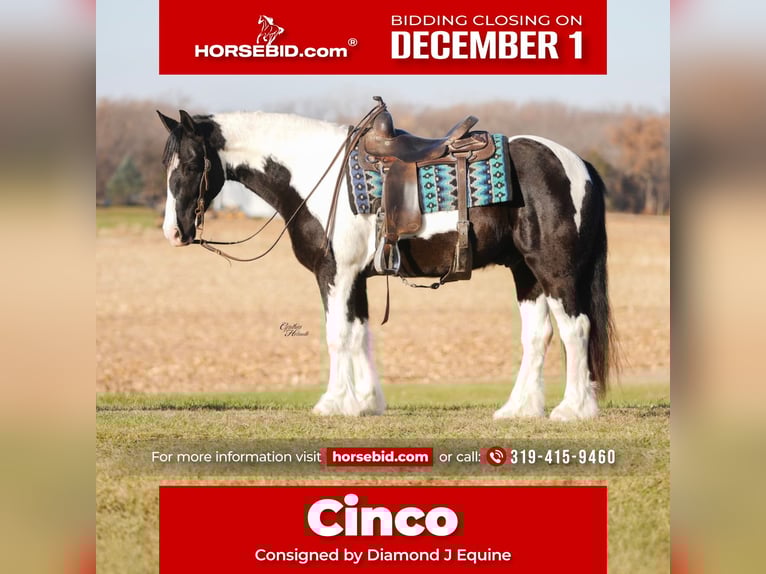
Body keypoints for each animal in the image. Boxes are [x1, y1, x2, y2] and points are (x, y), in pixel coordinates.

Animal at [156, 103, 616, 420]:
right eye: (167, 164)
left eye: (192, 163)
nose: (174, 232)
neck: (313, 173)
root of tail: (579, 164)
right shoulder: (356, 278)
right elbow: (360, 334)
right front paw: (365, 402)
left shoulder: (335, 273)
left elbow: (337, 335)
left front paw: (332, 402)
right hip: (526, 273)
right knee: (538, 336)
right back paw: (519, 409)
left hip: (555, 271)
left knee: (575, 329)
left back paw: (573, 409)